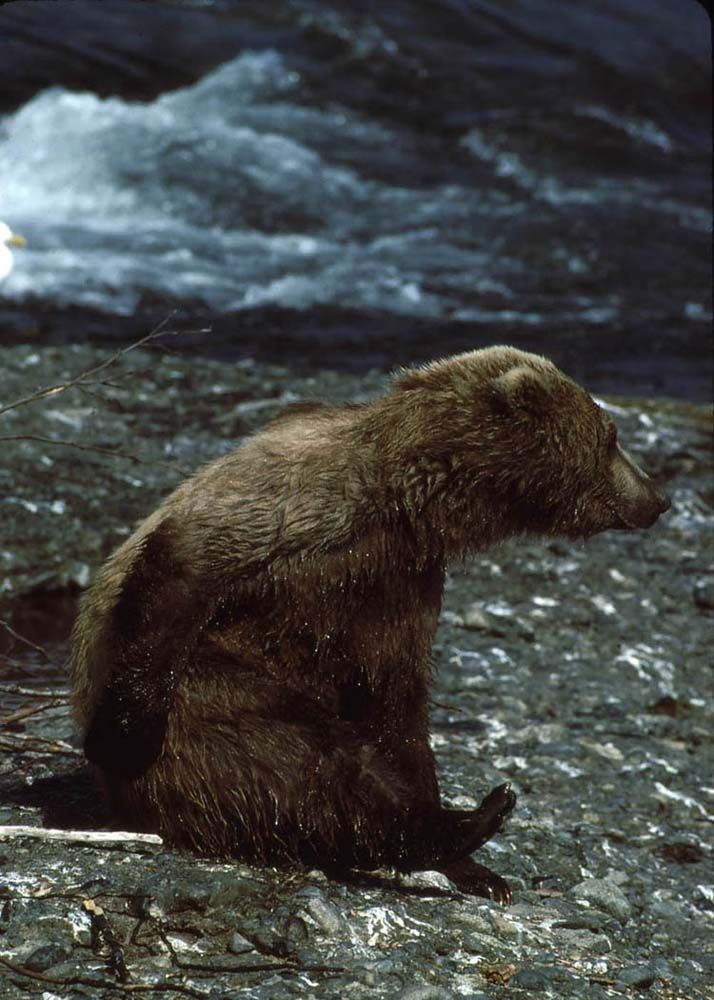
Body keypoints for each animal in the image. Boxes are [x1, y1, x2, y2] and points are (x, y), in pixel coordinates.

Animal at [69, 346, 670, 903]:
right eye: (611, 437)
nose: (658, 497)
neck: (410, 497)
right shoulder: (298, 507)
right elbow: (185, 566)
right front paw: (123, 736)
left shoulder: (396, 583)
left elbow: (395, 702)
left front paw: (472, 864)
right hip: (206, 700)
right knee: (295, 756)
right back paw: (474, 816)